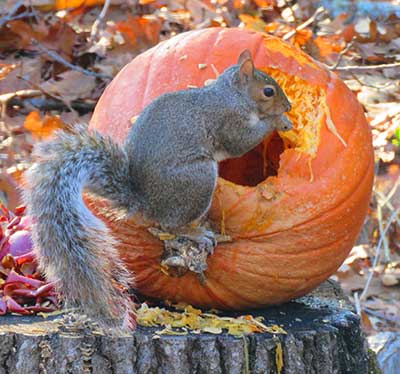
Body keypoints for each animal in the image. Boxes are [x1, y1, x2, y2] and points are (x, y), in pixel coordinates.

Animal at [25, 50, 292, 330]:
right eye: (268, 91)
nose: (288, 107)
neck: (232, 95)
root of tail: (145, 201)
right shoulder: (228, 122)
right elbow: (241, 142)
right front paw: (277, 121)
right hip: (199, 179)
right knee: (171, 225)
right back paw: (197, 234)